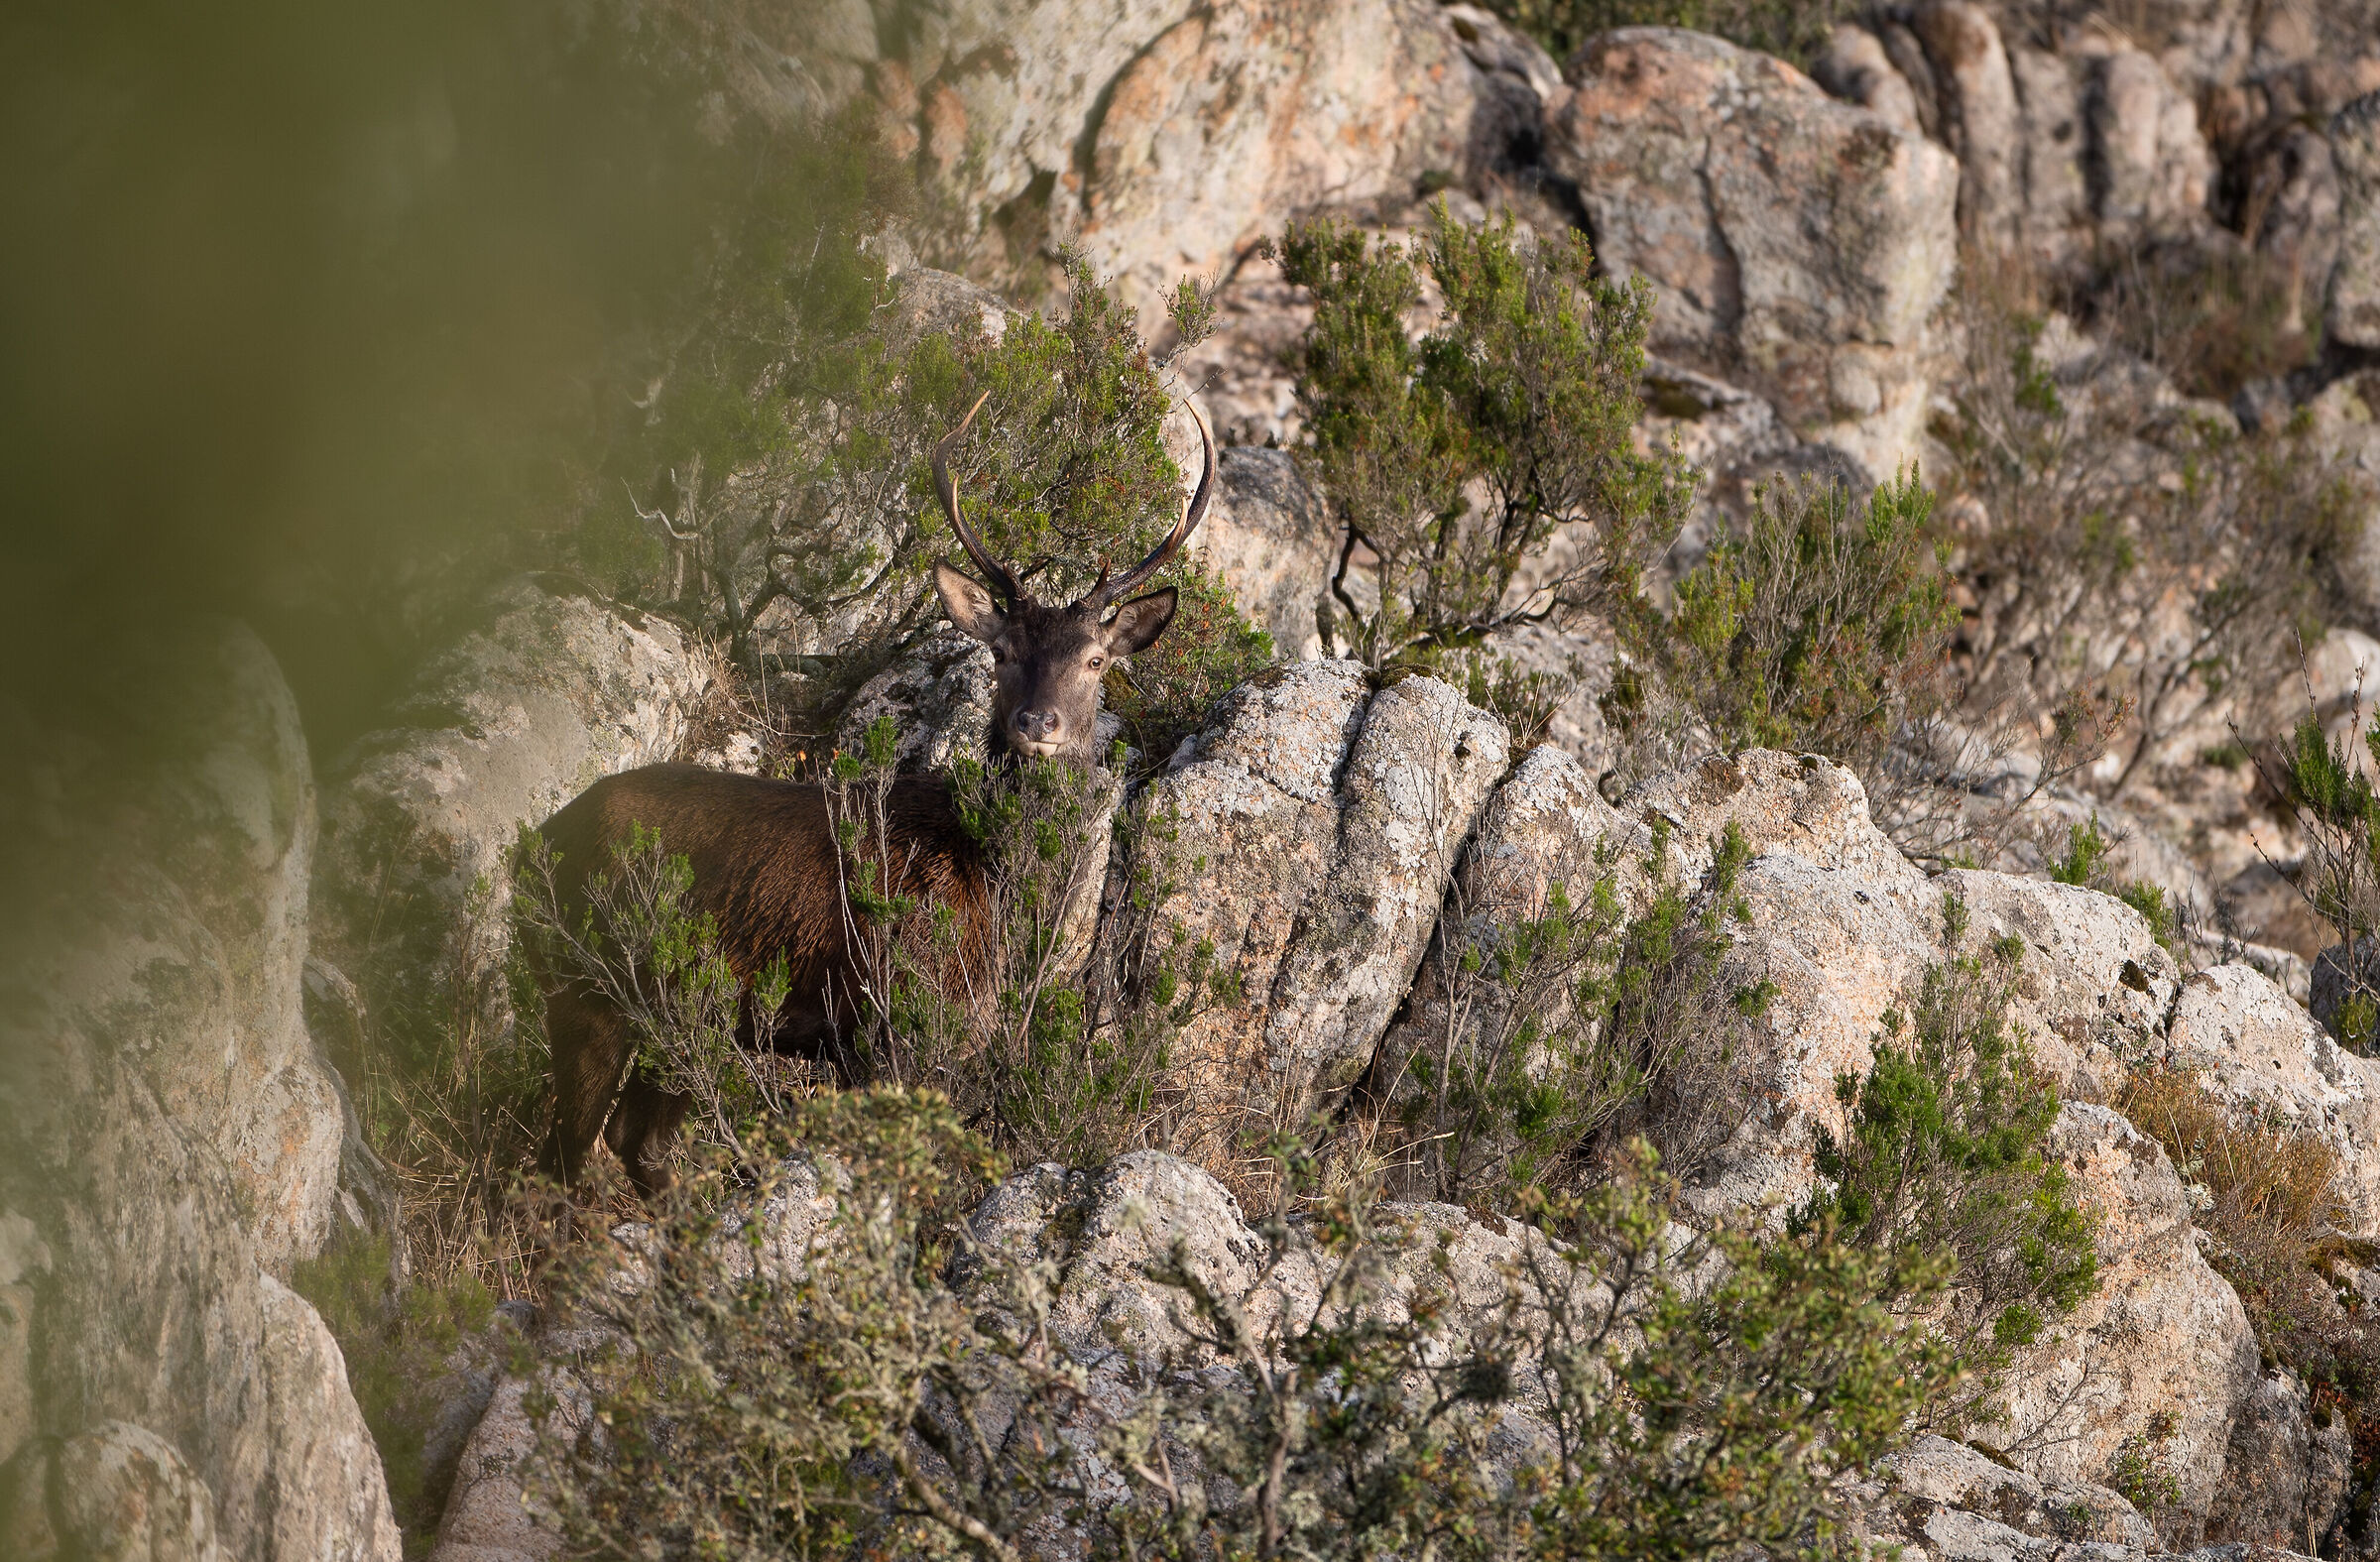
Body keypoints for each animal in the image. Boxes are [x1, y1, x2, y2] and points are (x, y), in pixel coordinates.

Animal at [532, 393, 1215, 1197]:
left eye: (1096, 659)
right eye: (1003, 651)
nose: (1036, 722)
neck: (993, 887)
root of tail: (540, 841)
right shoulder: (893, 1020)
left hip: (685, 1010)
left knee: (634, 1138)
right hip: (586, 988)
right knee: (565, 1153)